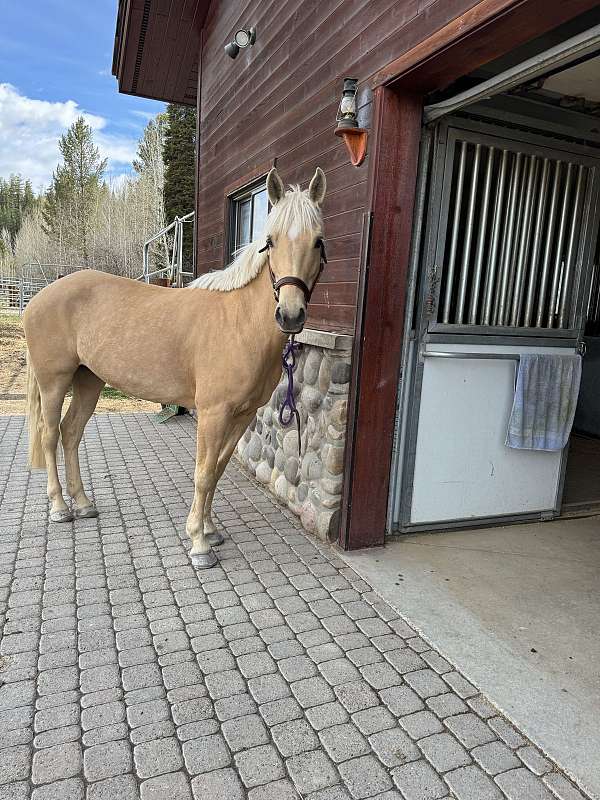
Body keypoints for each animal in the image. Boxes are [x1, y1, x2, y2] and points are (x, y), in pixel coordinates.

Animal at [23, 169, 326, 568]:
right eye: (270, 241)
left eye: (318, 242)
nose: (290, 315)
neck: (238, 322)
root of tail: (39, 296)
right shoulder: (213, 414)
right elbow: (203, 473)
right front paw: (198, 543)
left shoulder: (242, 415)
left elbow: (218, 469)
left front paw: (210, 530)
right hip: (54, 382)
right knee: (49, 436)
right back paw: (60, 507)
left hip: (89, 380)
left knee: (70, 432)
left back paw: (84, 504)